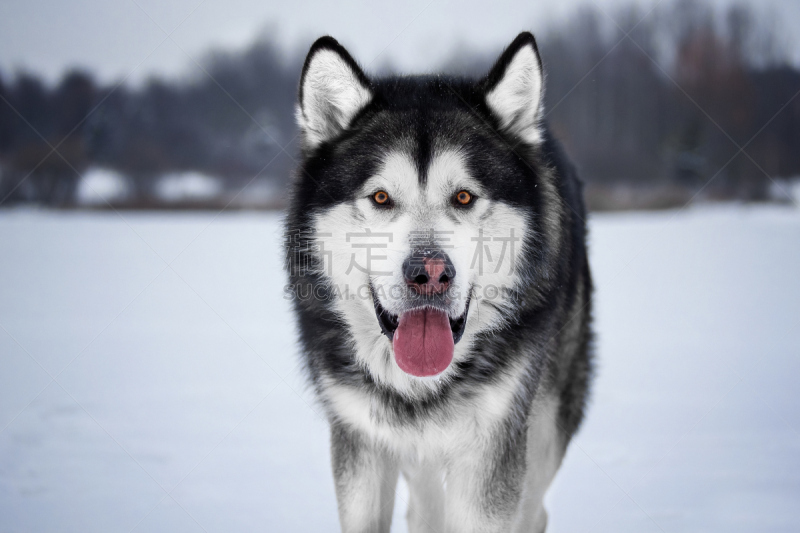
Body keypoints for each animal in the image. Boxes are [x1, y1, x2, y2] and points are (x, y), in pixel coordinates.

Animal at [284, 31, 592, 528]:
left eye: (464, 197)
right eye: (381, 197)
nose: (429, 272)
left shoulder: (491, 447)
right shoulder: (360, 438)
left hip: (544, 423)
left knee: (534, 507)